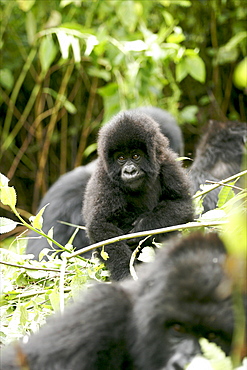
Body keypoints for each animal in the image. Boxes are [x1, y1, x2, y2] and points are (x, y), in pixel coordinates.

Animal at [83, 110, 193, 280]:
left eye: (135, 156)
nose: (130, 171)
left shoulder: (167, 163)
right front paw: (125, 273)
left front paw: (143, 227)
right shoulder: (104, 177)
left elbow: (182, 203)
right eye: (121, 158)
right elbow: (101, 225)